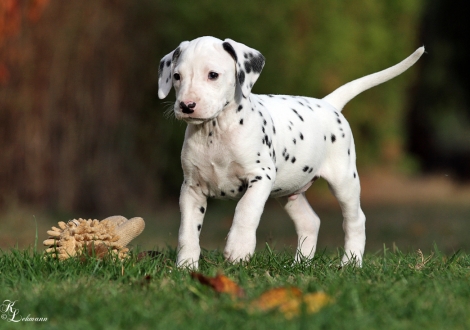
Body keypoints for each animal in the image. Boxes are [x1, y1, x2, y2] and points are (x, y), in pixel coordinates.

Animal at [157, 36, 422, 268]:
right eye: (177, 76)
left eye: (213, 75)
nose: (186, 106)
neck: (216, 131)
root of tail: (329, 103)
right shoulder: (191, 189)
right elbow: (187, 231)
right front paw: (186, 266)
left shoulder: (260, 177)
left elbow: (246, 210)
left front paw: (238, 249)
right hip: (290, 191)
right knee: (310, 222)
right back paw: (300, 264)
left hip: (344, 181)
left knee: (355, 221)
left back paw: (351, 263)